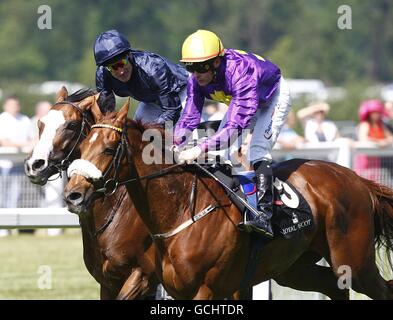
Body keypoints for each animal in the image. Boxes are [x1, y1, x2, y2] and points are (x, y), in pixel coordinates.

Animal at [62, 100, 392, 300]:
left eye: (108, 149)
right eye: (82, 148)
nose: (73, 194)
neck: (180, 212)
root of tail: (356, 180)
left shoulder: (204, 288)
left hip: (353, 263)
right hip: (294, 268)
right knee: (334, 288)